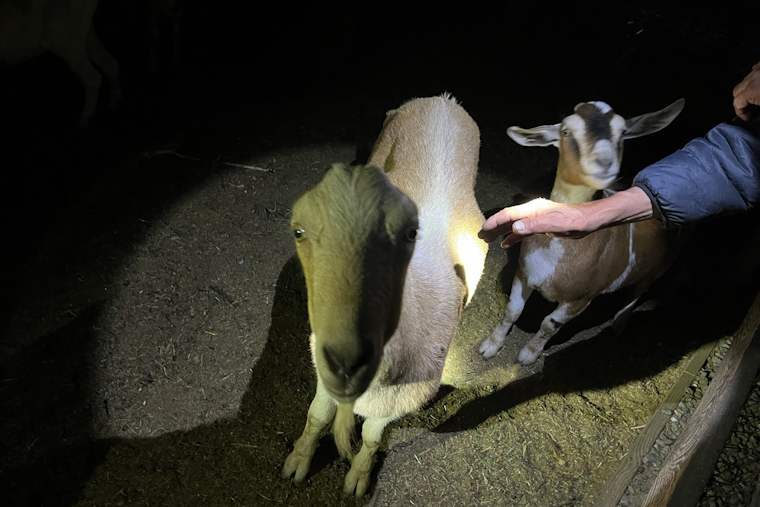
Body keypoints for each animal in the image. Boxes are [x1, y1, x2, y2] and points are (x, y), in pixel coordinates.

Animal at [282, 94, 487, 497]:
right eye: (299, 233)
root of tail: (442, 101)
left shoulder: (396, 402)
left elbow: (372, 438)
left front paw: (358, 477)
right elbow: (317, 417)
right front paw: (299, 460)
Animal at [479, 99, 685, 365]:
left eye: (623, 133)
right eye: (566, 132)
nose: (605, 162)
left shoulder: (580, 300)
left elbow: (549, 324)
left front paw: (528, 355)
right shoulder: (524, 273)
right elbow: (512, 311)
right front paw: (490, 346)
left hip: (663, 265)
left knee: (640, 289)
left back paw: (619, 323)